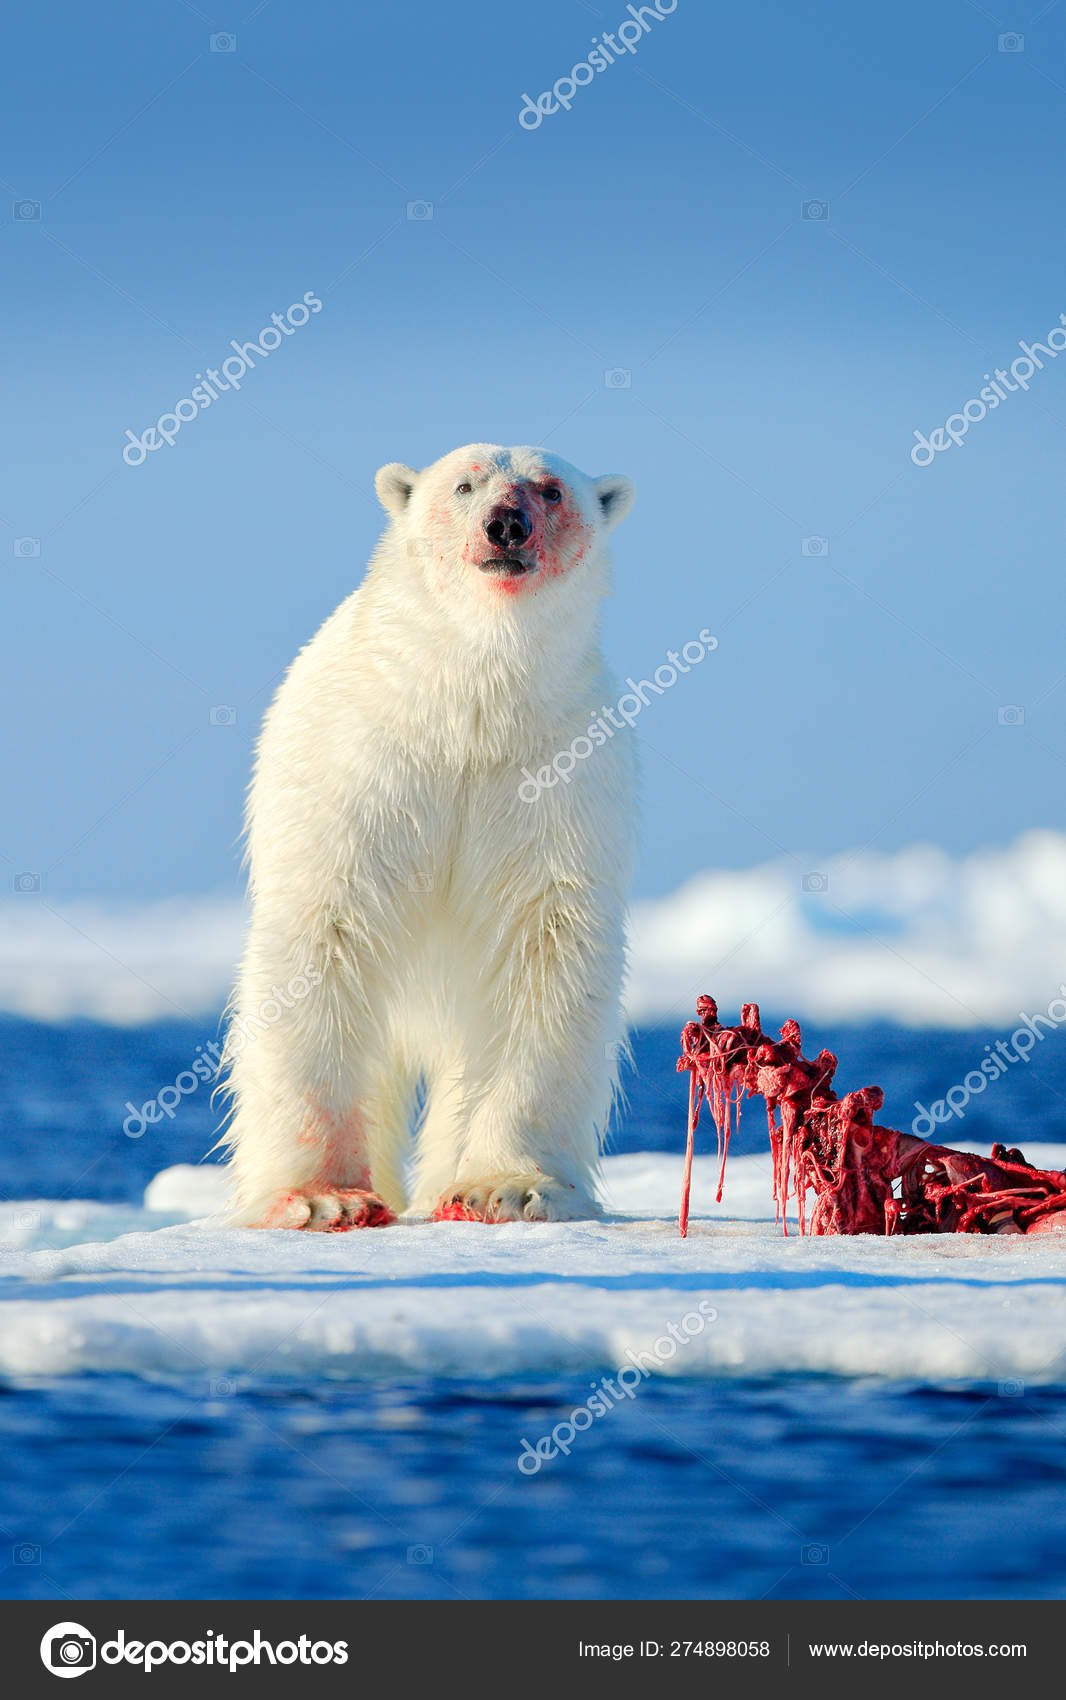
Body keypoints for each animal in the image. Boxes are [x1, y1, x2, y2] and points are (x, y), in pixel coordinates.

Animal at [220, 443, 636, 1229]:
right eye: (464, 484)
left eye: (550, 489)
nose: (506, 524)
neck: (469, 701)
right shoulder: (361, 764)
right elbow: (324, 940)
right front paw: (322, 1196)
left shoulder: (556, 777)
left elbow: (544, 955)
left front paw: (507, 1186)